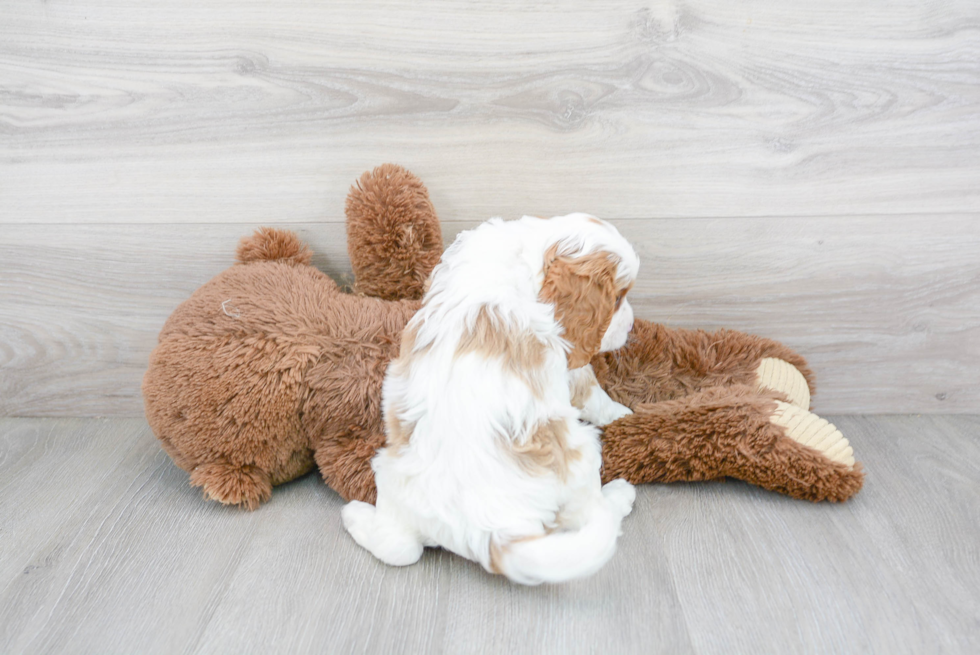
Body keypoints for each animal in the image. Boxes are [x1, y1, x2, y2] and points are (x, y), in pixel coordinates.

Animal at [344, 214, 644, 584]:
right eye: (617, 300)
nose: (630, 326)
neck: (524, 256)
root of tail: (486, 532)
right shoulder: (567, 358)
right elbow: (591, 389)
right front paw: (622, 414)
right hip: (582, 456)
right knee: (587, 517)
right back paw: (619, 497)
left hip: (390, 473)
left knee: (397, 547)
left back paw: (355, 516)